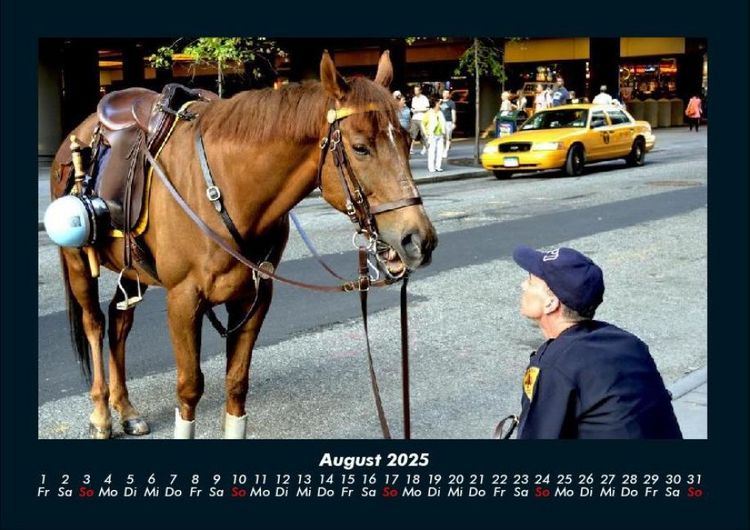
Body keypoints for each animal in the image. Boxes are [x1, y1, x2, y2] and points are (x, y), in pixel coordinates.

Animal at [50, 50, 438, 439]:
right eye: (360, 148)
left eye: (407, 142)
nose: (419, 239)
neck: (226, 189)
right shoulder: (183, 299)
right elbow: (189, 387)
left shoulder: (255, 297)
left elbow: (236, 383)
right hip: (77, 263)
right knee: (95, 323)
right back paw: (102, 413)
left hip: (133, 270)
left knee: (120, 322)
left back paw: (125, 408)